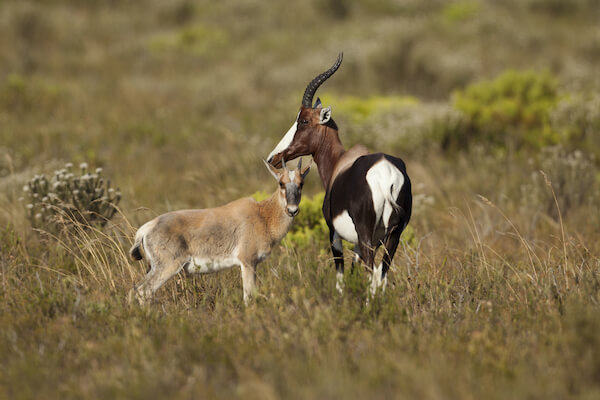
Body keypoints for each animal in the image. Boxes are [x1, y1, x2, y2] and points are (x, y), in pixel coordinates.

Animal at [129, 158, 312, 304]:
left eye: (301, 183)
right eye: (281, 183)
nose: (292, 210)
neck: (262, 214)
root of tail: (148, 227)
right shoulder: (247, 262)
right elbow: (249, 297)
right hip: (167, 268)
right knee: (143, 291)